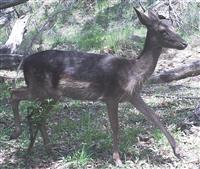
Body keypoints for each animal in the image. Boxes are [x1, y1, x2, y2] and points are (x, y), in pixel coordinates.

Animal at [9, 8, 188, 166]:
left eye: (172, 26)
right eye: (162, 30)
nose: (184, 43)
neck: (133, 71)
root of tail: (24, 63)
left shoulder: (133, 96)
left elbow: (155, 117)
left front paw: (178, 151)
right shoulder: (111, 96)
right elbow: (115, 127)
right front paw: (117, 160)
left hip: (49, 94)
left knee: (37, 114)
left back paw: (43, 150)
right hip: (42, 89)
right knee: (15, 94)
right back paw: (17, 134)